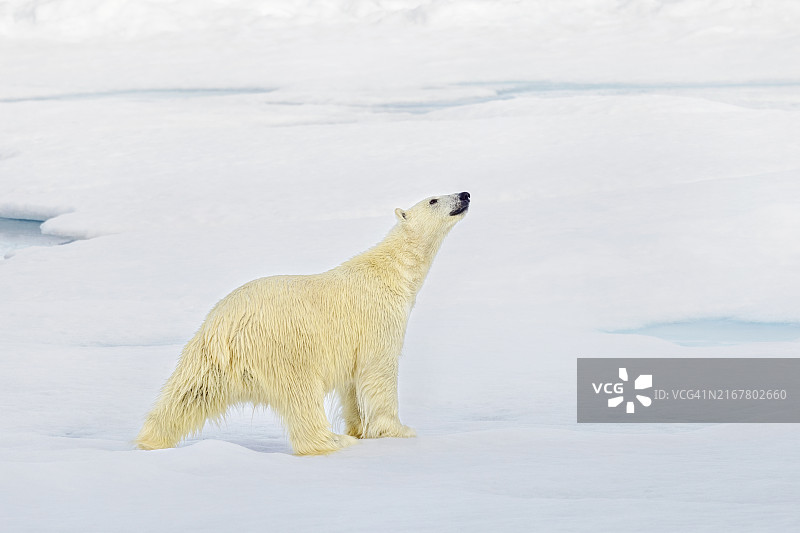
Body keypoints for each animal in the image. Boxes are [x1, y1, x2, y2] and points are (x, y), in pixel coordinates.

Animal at [136, 191, 470, 455]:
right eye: (433, 199)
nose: (465, 194)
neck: (392, 272)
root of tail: (225, 328)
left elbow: (352, 385)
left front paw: (358, 428)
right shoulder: (377, 319)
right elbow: (378, 372)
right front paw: (398, 430)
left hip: (206, 356)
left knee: (188, 394)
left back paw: (150, 440)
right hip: (284, 347)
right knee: (302, 395)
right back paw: (331, 441)